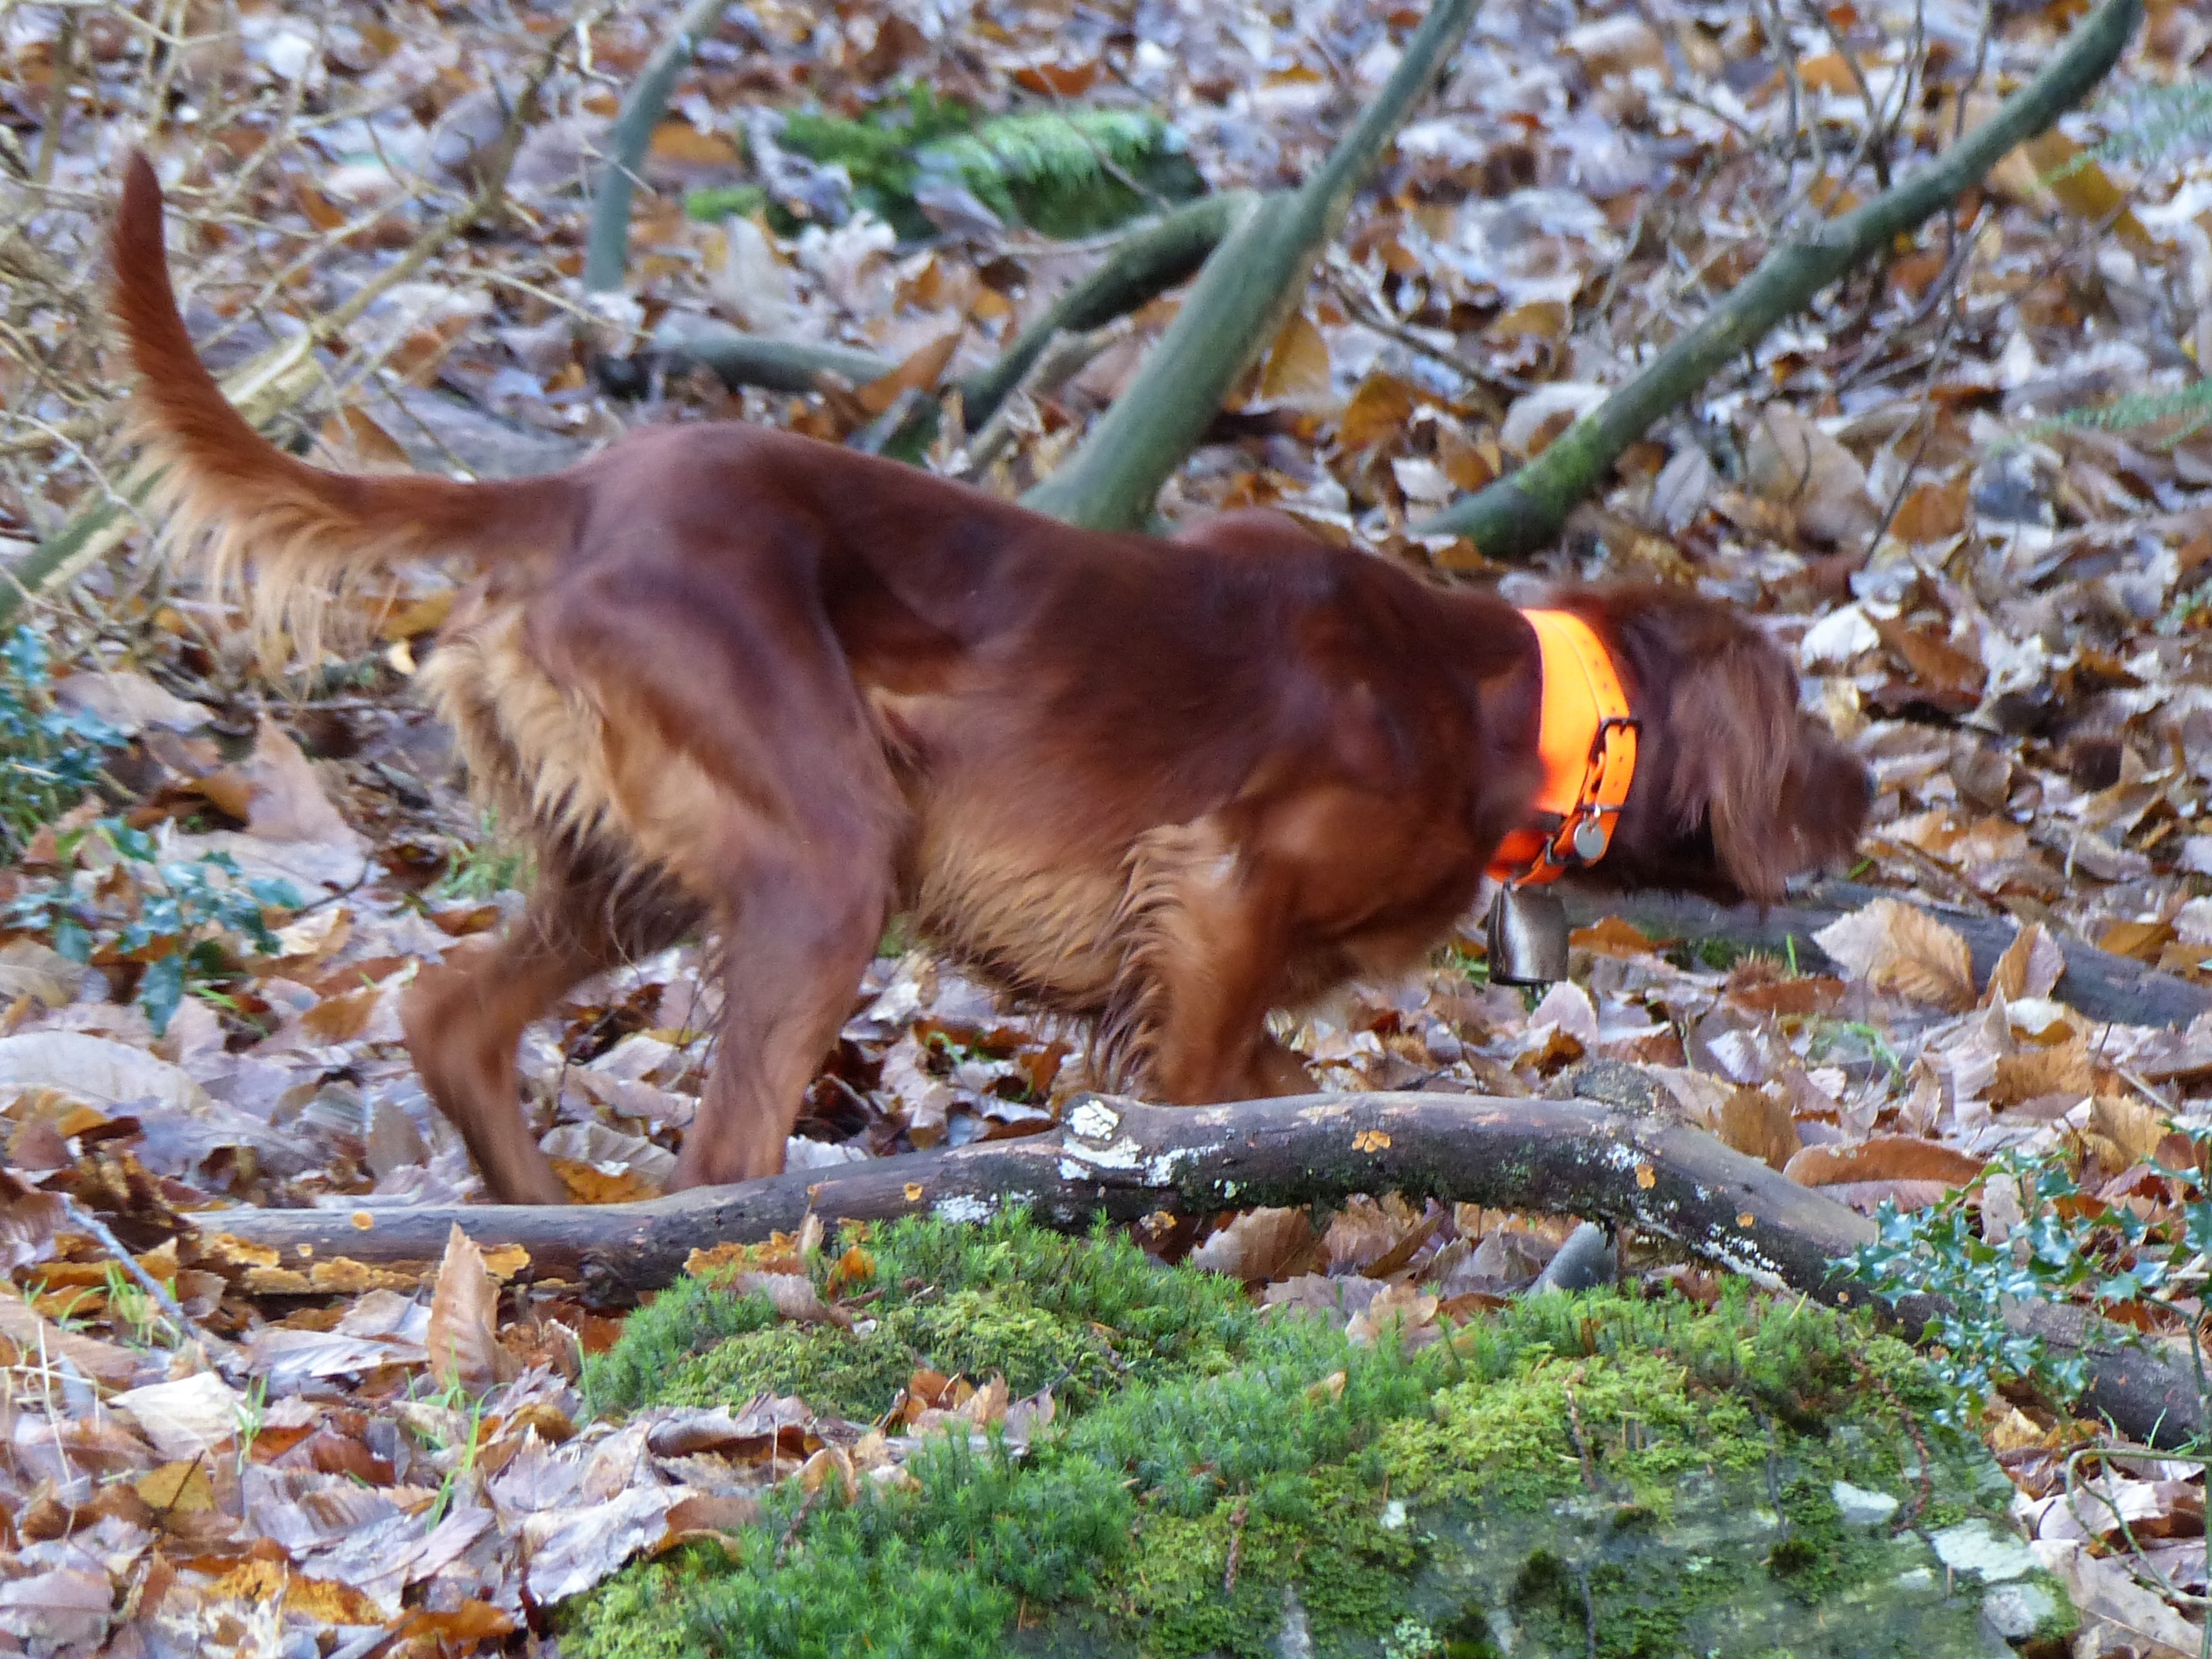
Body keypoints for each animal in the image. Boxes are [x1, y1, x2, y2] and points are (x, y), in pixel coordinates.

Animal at [108, 154, 1869, 1203]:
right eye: (1799, 721)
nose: (1868, 793)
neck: (1511, 707)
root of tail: (579, 492)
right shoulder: (1216, 893)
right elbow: (1215, 1108)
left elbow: (1273, 1094)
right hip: (828, 858)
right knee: (718, 1146)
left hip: (651, 869)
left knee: (451, 1015)